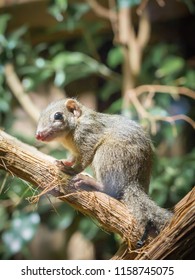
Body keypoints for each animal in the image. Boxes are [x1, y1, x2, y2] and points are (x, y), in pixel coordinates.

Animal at [36, 98, 172, 245]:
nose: (38, 135)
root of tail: (133, 181)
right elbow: (72, 158)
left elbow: (83, 161)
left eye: (58, 116)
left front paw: (71, 170)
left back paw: (90, 181)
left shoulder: (88, 135)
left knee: (108, 188)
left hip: (107, 154)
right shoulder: (75, 151)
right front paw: (64, 162)